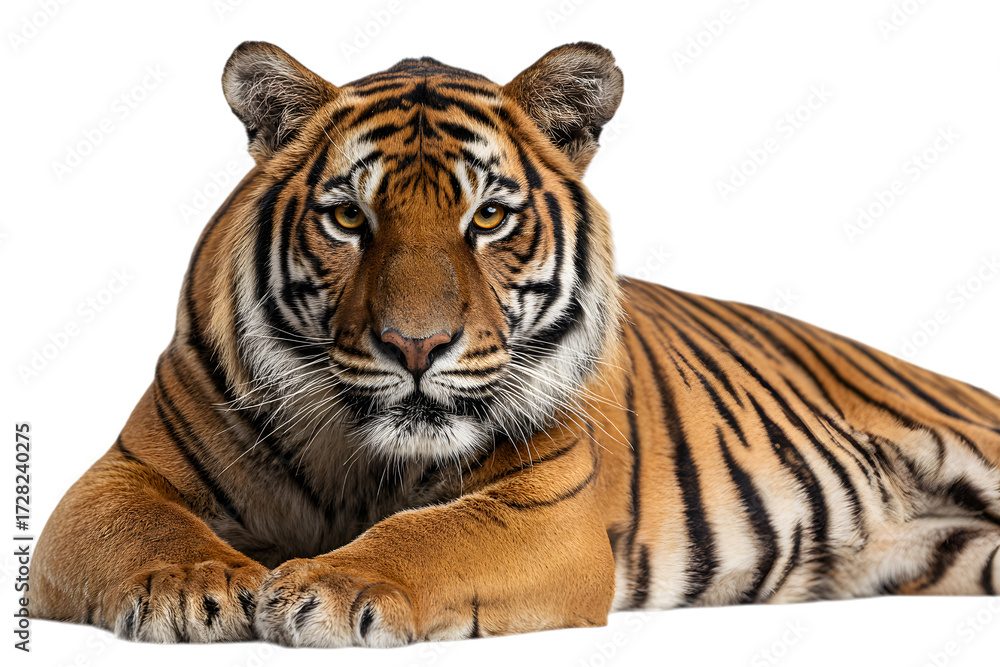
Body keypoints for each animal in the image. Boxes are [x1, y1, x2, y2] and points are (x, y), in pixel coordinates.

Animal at [31, 41, 1000, 647]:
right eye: (349, 218)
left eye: (489, 217)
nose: (415, 346)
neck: (361, 462)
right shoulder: (115, 475)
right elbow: (142, 522)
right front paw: (196, 585)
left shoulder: (549, 506)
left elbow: (432, 533)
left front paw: (326, 588)